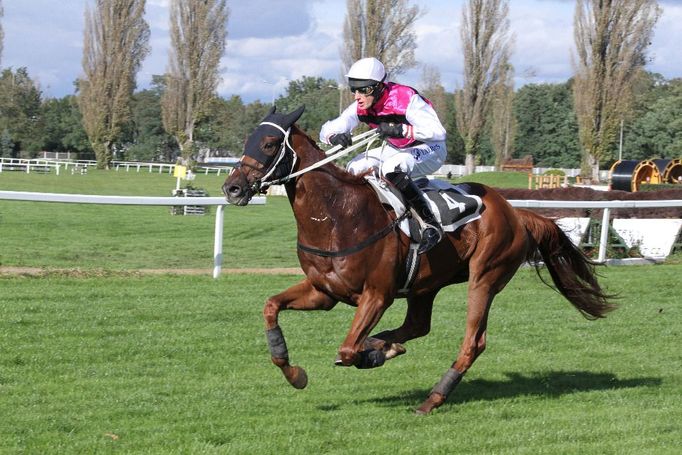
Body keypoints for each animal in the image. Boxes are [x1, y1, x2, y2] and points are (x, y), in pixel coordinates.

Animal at [220, 107, 612, 416]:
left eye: (269, 144)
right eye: (248, 140)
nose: (232, 188)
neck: (337, 216)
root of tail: (517, 213)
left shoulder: (377, 295)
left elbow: (347, 349)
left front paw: (370, 354)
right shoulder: (324, 292)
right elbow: (271, 308)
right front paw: (295, 373)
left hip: (484, 277)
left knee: (473, 342)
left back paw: (430, 397)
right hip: (426, 285)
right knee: (418, 326)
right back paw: (387, 344)